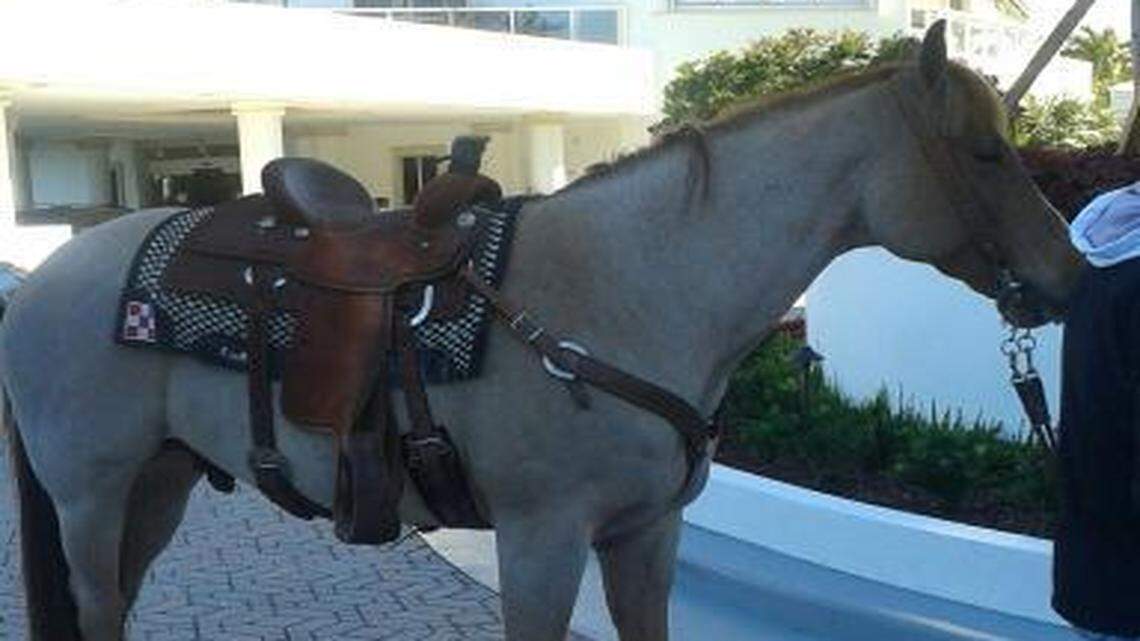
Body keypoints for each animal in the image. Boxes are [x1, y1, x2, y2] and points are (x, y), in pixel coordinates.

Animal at [0, 22, 1085, 641]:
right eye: (985, 151)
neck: (625, 287)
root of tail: (43, 283)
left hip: (160, 482)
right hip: (91, 495)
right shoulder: (542, 539)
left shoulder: (646, 536)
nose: (1071, 278)